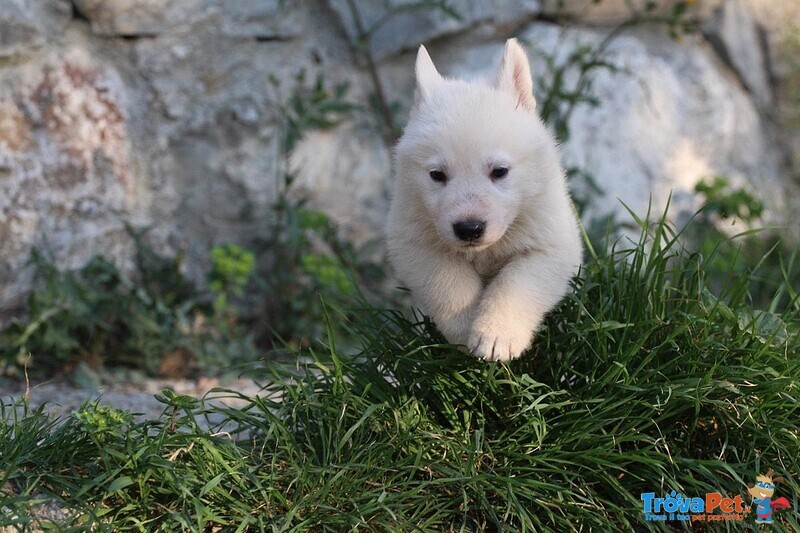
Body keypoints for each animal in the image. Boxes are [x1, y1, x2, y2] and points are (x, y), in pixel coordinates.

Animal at [388, 38, 580, 362]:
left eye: (499, 171)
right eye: (437, 174)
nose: (469, 229)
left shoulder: (548, 232)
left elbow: (521, 278)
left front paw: (496, 335)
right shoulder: (414, 232)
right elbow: (445, 277)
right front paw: (466, 330)